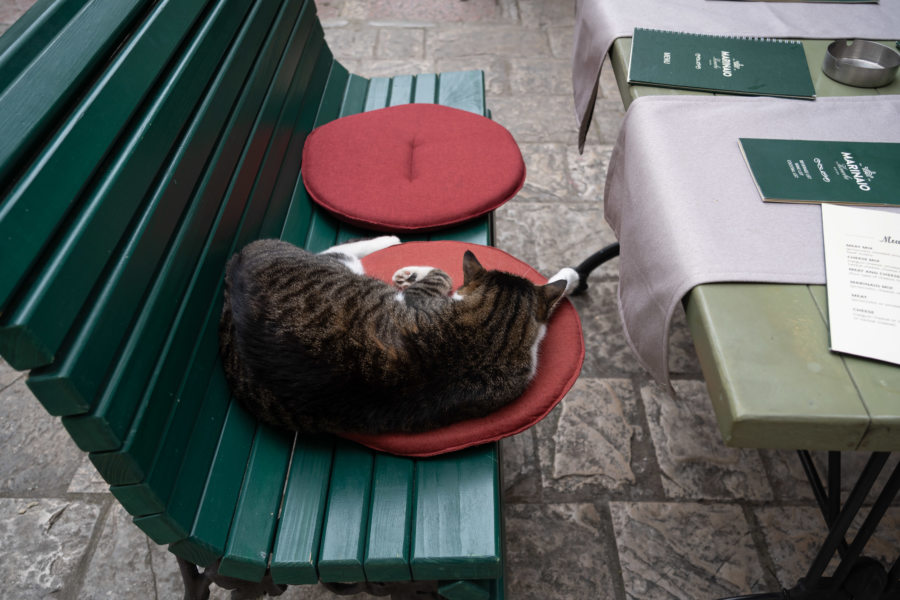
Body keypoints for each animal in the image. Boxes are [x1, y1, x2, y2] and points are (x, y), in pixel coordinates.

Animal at [221, 236, 580, 436]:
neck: (488, 334)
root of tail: (238, 260)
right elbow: (442, 273)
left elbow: (441, 274)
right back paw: (390, 240)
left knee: (335, 253)